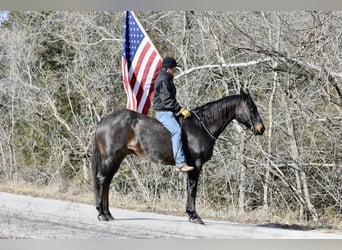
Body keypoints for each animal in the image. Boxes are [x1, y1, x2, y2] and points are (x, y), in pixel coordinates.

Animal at [91, 88, 264, 225]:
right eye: (251, 108)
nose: (261, 128)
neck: (201, 126)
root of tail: (102, 122)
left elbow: (190, 188)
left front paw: (191, 214)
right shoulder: (196, 164)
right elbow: (193, 188)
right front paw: (194, 216)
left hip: (117, 158)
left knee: (107, 181)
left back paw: (108, 213)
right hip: (110, 158)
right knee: (102, 179)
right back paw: (101, 213)